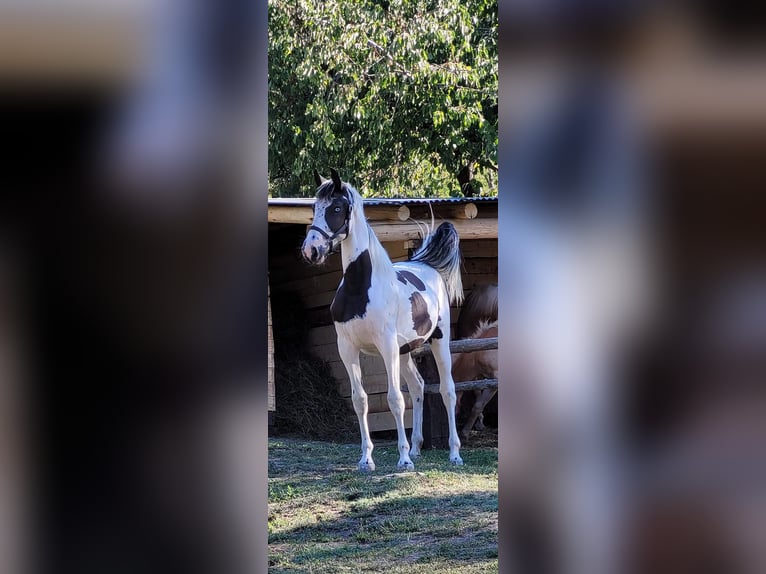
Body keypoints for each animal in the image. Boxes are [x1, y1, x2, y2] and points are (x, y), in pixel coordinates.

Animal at [304, 170, 464, 472]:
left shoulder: (386, 346)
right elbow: (360, 400)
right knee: (418, 387)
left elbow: (395, 399)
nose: (311, 251)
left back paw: (454, 453)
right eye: (314, 208)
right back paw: (417, 448)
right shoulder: (348, 349)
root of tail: (427, 266)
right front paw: (367, 459)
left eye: (337, 208)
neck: (360, 288)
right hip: (404, 352)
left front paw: (402, 459)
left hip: (439, 341)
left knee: (447, 391)